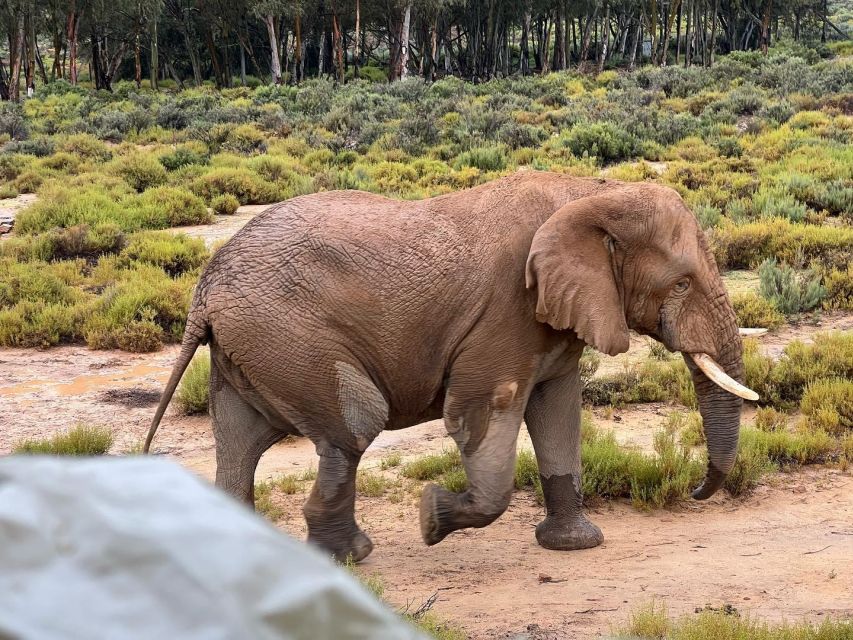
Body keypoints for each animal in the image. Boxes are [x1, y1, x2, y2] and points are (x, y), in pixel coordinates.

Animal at [145, 169, 752, 560]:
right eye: (681, 283)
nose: (696, 492)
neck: (591, 192)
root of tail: (204, 291)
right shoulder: (506, 313)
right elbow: (481, 416)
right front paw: (430, 518)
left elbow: (559, 414)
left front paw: (576, 546)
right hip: (284, 335)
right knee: (354, 425)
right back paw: (346, 559)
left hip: (247, 347)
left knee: (241, 442)